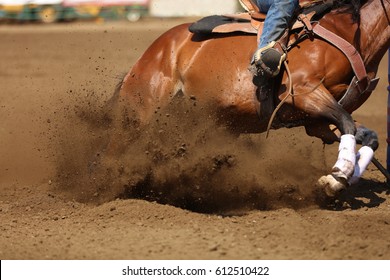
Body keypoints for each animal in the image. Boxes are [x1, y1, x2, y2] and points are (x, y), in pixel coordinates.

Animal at [111, 0, 388, 197]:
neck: (354, 32)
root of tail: (150, 54)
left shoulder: (316, 121)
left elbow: (368, 136)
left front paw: (343, 178)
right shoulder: (304, 91)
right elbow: (348, 123)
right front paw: (338, 175)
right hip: (142, 110)